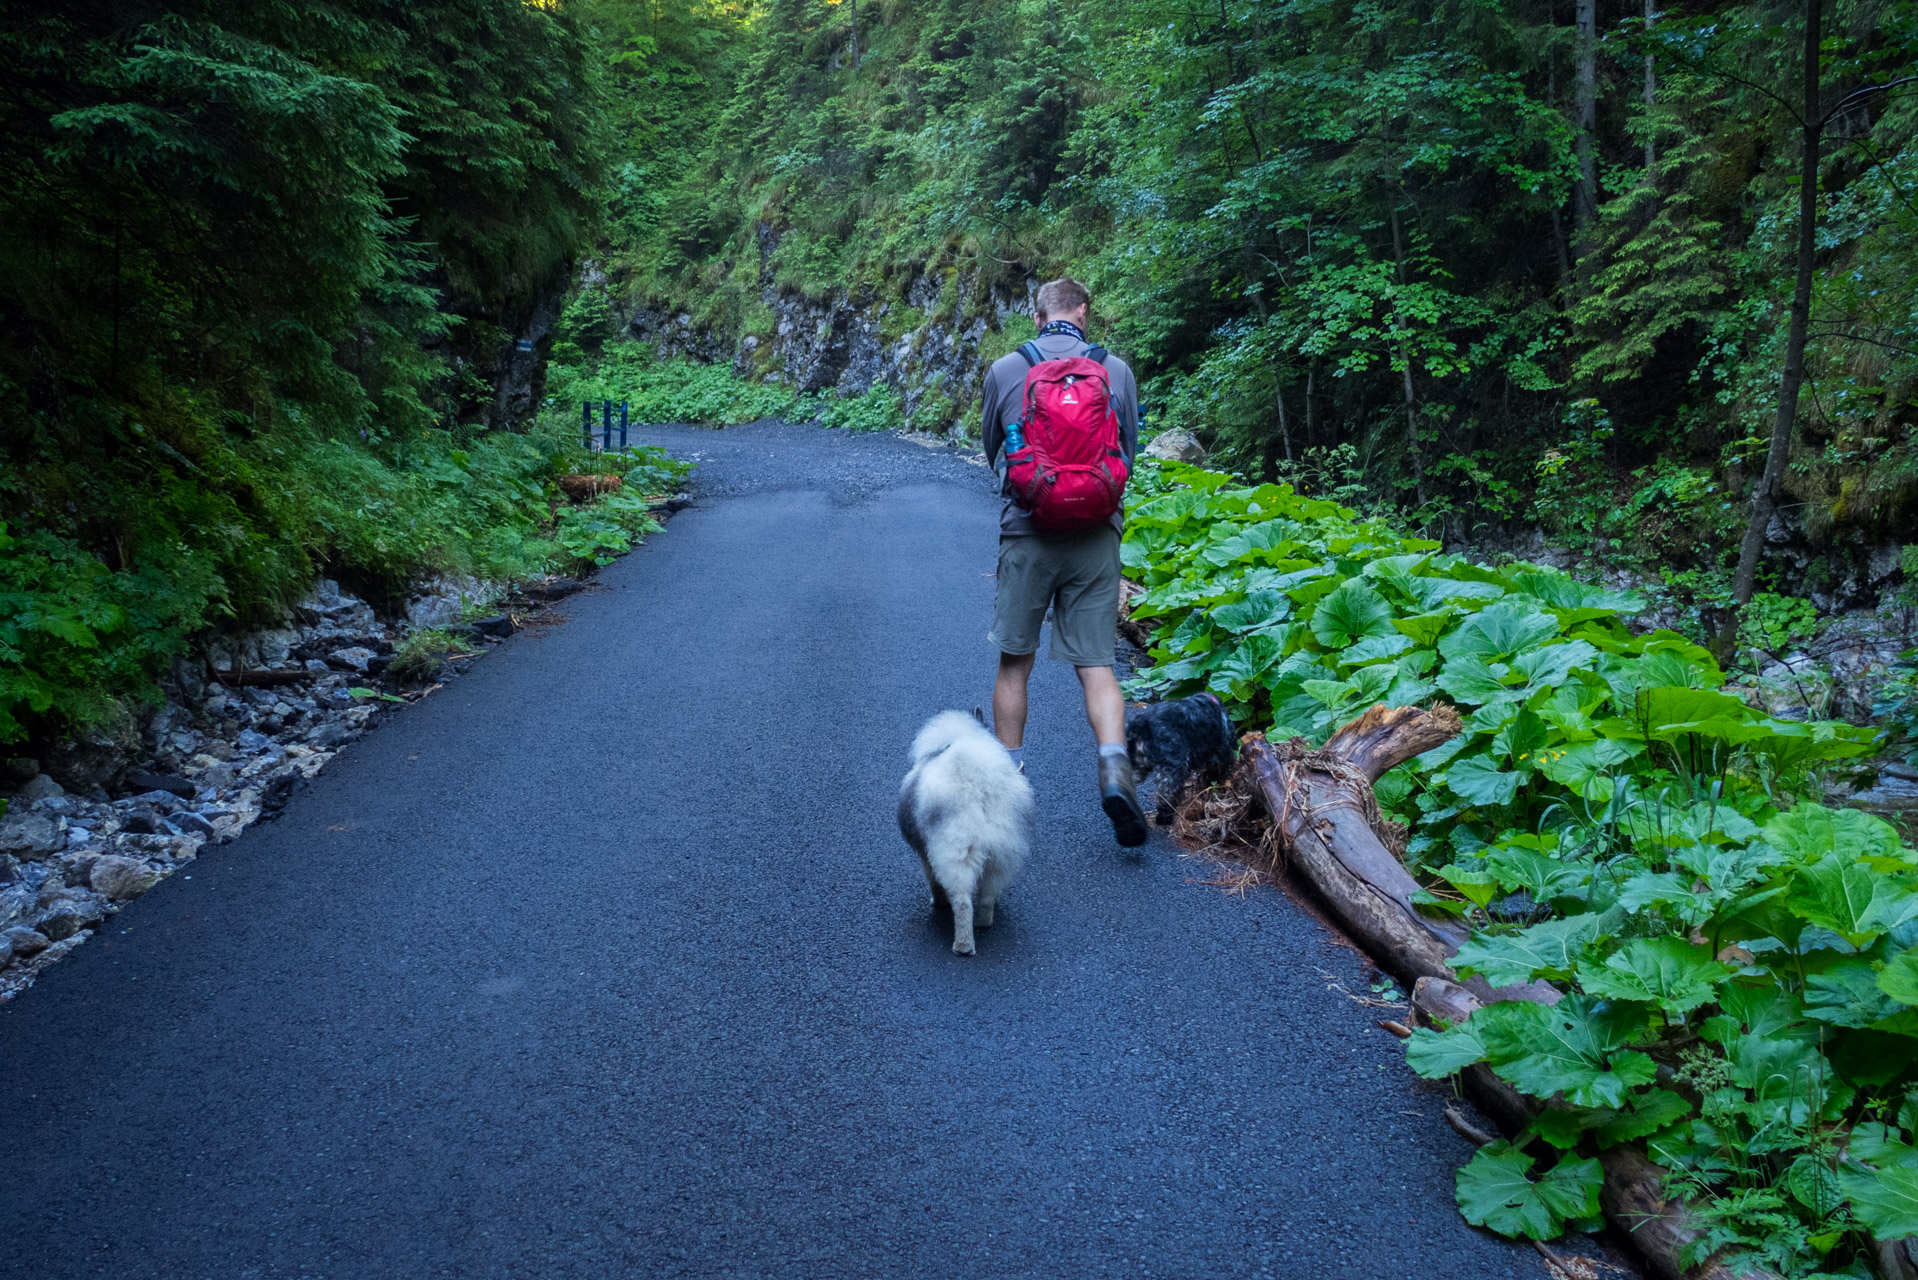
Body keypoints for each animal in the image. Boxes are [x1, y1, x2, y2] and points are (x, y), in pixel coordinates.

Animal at [897, 710, 1035, 951]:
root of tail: (979, 785)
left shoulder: (925, 853)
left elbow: (933, 880)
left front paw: (938, 902)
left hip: (956, 851)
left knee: (962, 902)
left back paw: (963, 944)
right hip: (1003, 851)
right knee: (987, 895)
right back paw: (983, 922)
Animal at [1120, 690, 1242, 821]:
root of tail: (1141, 723)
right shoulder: (1218, 754)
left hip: (1138, 766)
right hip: (1173, 767)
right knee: (1166, 793)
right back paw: (1165, 816)